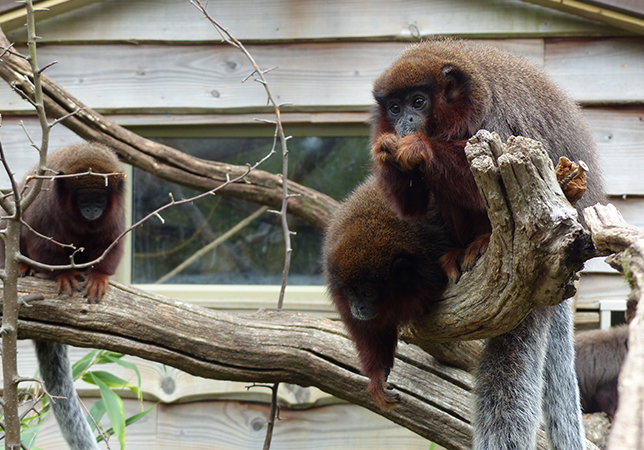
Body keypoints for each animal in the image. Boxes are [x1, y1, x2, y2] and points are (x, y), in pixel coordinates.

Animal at [1, 142, 126, 450]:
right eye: (83, 198)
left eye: (100, 198)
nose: (92, 208)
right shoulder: (45, 210)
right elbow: (40, 238)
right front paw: (63, 275)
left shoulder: (115, 217)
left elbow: (111, 242)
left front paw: (99, 276)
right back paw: (23, 267)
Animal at [365, 40, 605, 450]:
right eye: (394, 107)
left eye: (418, 102)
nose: (405, 123)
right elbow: (413, 206)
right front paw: (386, 152)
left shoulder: (495, 121)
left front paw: (418, 148)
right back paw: (461, 252)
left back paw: (485, 242)